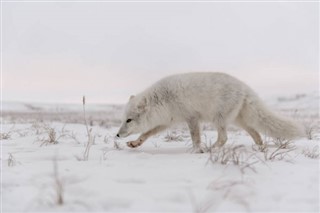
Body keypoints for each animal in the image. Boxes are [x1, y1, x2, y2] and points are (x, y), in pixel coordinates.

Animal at [115, 72, 304, 152]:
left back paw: (211, 149)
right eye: (122, 119)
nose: (117, 135)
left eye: (129, 120)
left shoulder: (191, 117)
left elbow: (195, 138)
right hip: (237, 121)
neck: (162, 100)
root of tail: (245, 87)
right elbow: (145, 134)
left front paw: (197, 150)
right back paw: (261, 147)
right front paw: (135, 143)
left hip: (218, 118)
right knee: (255, 133)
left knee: (224, 138)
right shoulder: (167, 122)